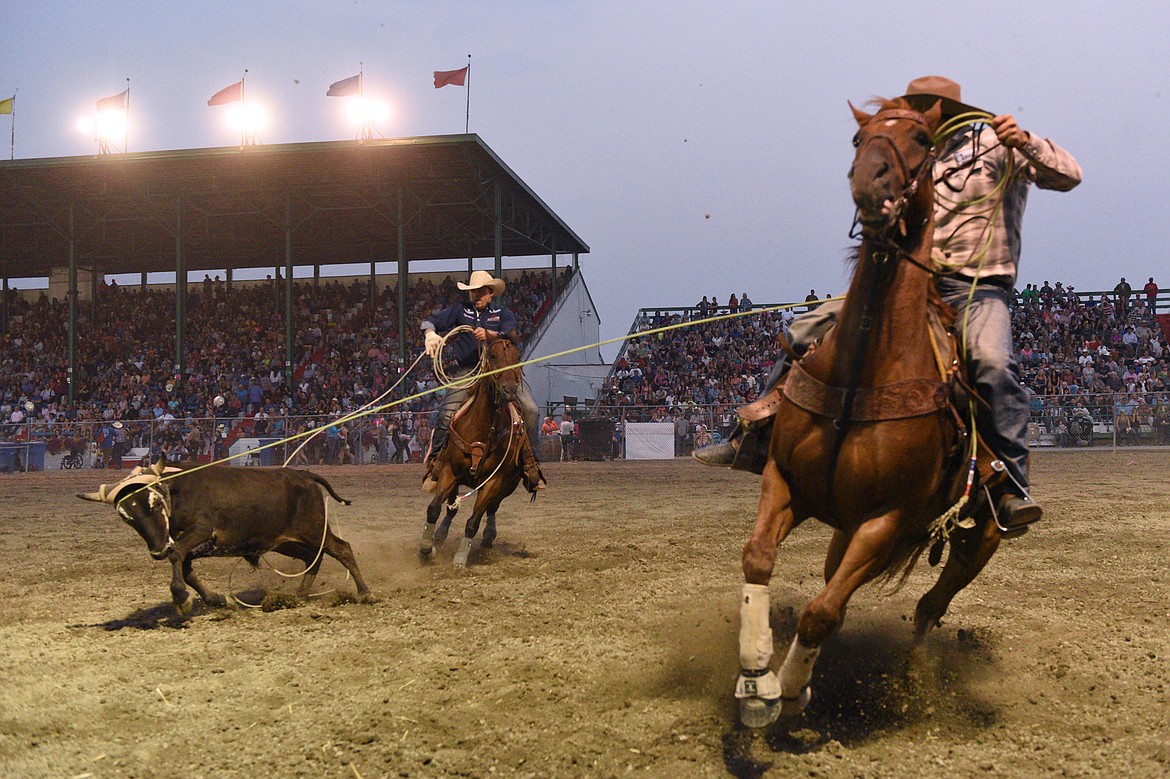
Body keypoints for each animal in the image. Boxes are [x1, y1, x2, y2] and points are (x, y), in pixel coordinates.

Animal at [418, 336, 533, 568]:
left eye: (516, 357)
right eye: (493, 356)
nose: (509, 389)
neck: (482, 427)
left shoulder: (493, 482)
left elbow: (473, 521)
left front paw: (460, 560)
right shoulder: (449, 472)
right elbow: (434, 509)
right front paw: (426, 548)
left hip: (508, 484)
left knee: (492, 508)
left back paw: (488, 535)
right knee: (451, 507)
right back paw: (440, 534)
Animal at [739, 100, 1006, 725]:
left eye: (922, 138)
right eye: (859, 138)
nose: (869, 180)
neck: (864, 370)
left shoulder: (886, 521)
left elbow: (823, 612)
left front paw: (792, 689)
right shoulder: (784, 480)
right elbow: (759, 558)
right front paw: (757, 676)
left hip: (977, 542)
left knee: (928, 607)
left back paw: (911, 681)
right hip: (844, 529)